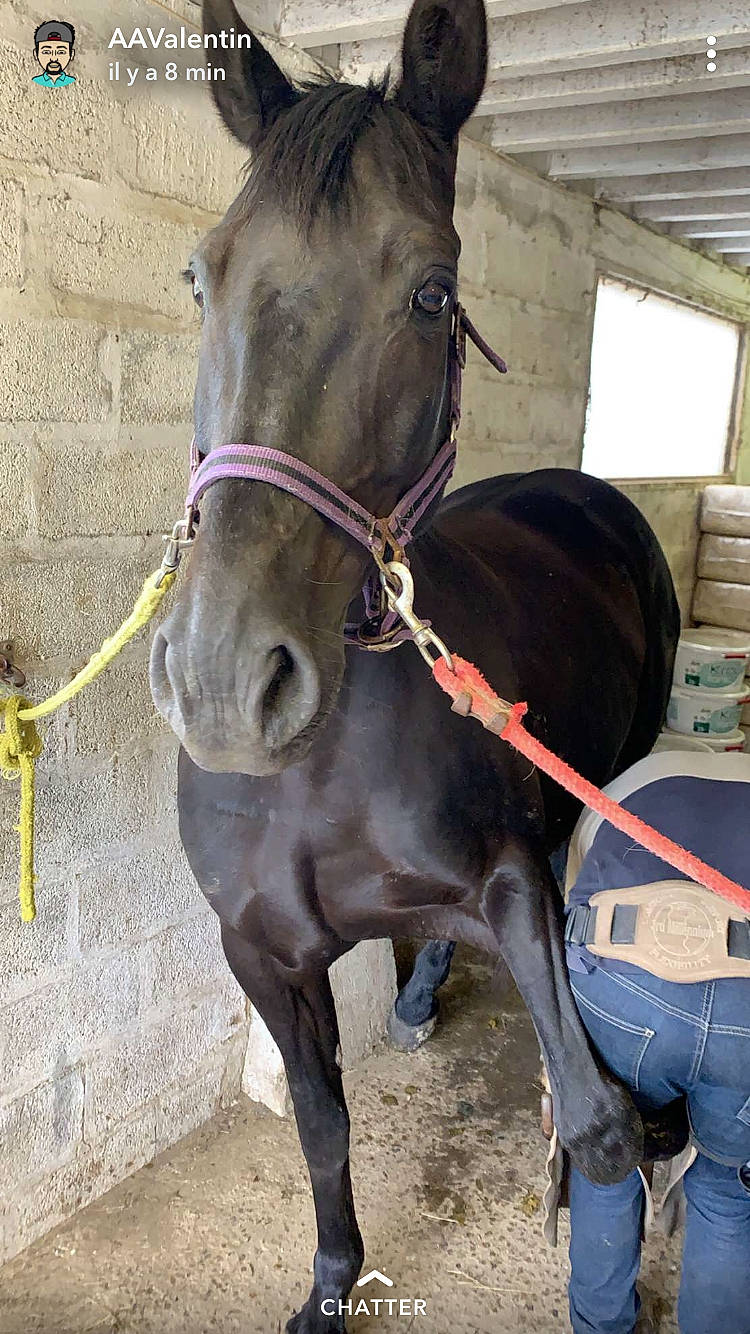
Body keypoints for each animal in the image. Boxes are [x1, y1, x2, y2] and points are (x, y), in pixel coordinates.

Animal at [149, 0, 680, 1328]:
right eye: (202, 273)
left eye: (434, 291)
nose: (224, 684)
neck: (312, 772)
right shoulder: (261, 951)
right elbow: (322, 1128)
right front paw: (331, 1286)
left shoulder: (508, 878)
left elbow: (599, 1122)